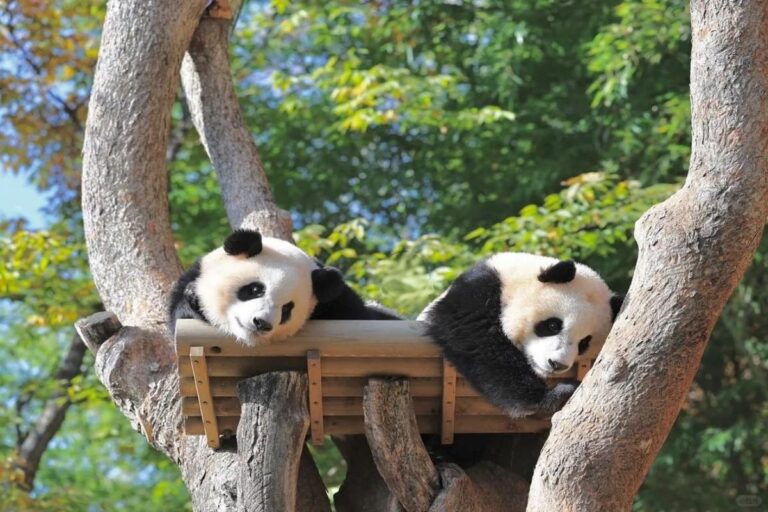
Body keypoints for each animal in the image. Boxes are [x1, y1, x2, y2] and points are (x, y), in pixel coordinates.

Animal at [420, 253, 623, 418]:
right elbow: (477, 336)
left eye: (584, 343)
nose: (557, 364)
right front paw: (552, 396)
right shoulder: (476, 291)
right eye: (553, 325)